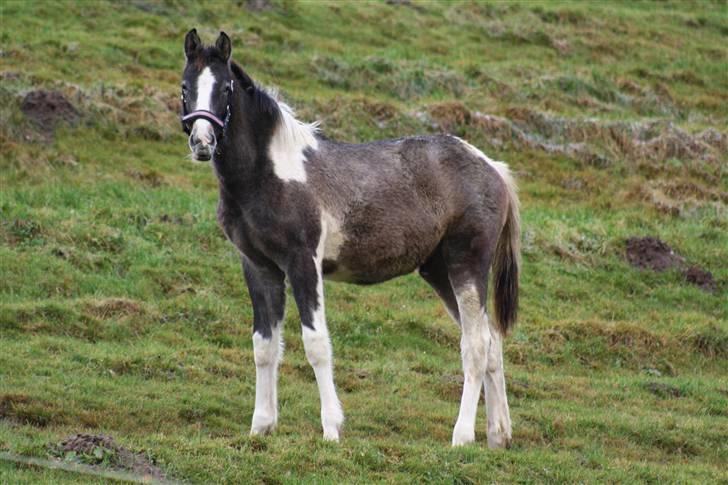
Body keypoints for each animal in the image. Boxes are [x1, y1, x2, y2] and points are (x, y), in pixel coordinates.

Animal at [179, 30, 520, 446]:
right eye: (185, 87)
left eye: (225, 88)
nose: (202, 142)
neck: (269, 174)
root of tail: (494, 168)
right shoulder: (259, 267)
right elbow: (264, 345)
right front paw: (261, 426)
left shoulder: (303, 263)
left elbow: (316, 344)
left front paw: (331, 428)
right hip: (439, 272)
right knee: (493, 343)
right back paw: (498, 435)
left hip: (465, 266)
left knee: (476, 345)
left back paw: (463, 435)